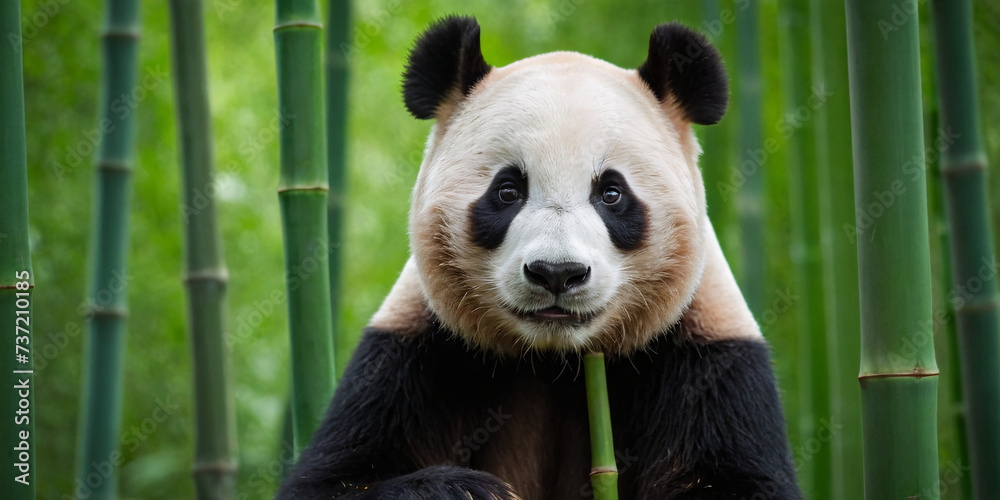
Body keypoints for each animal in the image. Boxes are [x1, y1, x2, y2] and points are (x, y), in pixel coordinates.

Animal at [278, 15, 801, 500]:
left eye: (612, 193)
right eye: (508, 190)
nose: (557, 273)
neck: (554, 359)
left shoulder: (711, 357)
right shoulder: (415, 349)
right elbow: (334, 480)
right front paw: (465, 488)